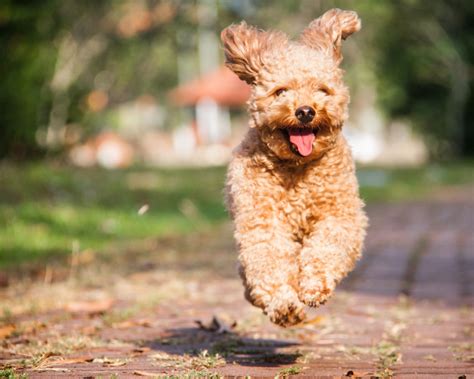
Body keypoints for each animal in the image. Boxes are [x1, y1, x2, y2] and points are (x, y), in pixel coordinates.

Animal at [220, 8, 368, 326]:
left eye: (322, 90)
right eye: (281, 91)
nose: (305, 111)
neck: (298, 168)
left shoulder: (339, 214)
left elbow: (327, 245)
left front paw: (313, 286)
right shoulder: (263, 221)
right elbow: (270, 257)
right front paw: (284, 305)